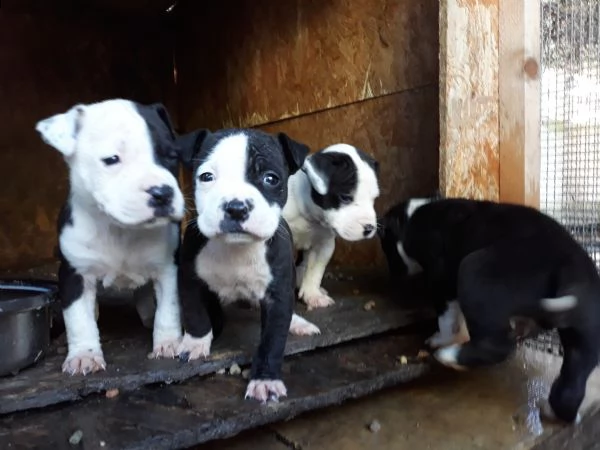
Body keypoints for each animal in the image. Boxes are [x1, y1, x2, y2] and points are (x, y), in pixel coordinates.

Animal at [35, 99, 185, 376]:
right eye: (112, 159)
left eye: (172, 156)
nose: (162, 193)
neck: (120, 228)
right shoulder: (75, 274)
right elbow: (78, 319)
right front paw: (83, 355)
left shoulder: (168, 268)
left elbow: (168, 308)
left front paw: (169, 342)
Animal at [176, 128, 322, 402]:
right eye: (206, 177)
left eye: (270, 178)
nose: (235, 207)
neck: (236, 248)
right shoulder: (188, 277)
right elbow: (195, 313)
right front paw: (195, 343)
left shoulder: (278, 295)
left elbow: (273, 340)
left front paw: (265, 380)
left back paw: (298, 323)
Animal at [282, 144, 378, 310]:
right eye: (345, 197)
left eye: (374, 199)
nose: (369, 228)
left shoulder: (323, 245)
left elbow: (315, 271)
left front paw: (313, 295)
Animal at [380, 196, 600, 422]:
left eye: (386, 247)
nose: (394, 275)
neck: (412, 218)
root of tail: (567, 267)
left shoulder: (441, 278)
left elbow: (447, 317)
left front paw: (439, 339)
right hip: (586, 328)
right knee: (574, 377)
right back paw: (556, 411)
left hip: (475, 272)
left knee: (495, 346)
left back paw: (448, 355)